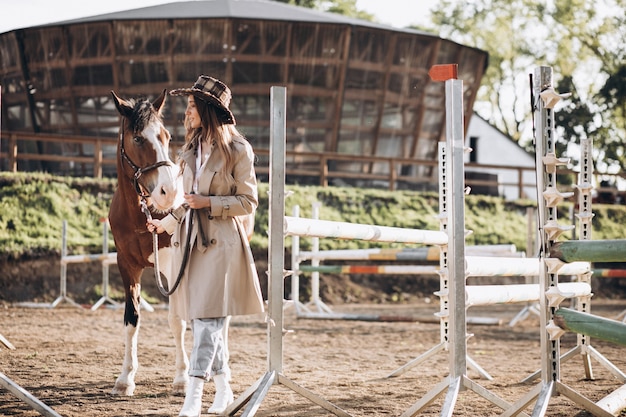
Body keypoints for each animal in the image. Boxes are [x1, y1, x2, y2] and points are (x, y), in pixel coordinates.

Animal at [107, 89, 188, 394]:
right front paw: (125, 379)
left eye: (166, 136)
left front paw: (182, 378)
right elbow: (132, 318)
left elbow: (176, 321)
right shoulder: (127, 266)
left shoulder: (174, 267)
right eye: (138, 138)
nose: (169, 192)